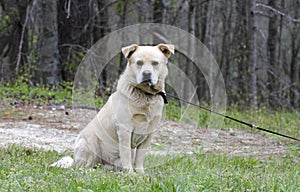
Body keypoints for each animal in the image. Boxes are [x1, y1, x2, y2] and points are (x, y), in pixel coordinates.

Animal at [51, 44, 173, 174]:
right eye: (139, 62)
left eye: (155, 63)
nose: (146, 74)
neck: (146, 95)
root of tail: (74, 161)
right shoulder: (125, 130)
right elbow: (126, 155)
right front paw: (130, 173)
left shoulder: (149, 133)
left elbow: (140, 158)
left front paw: (140, 173)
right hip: (90, 141)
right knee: (84, 166)